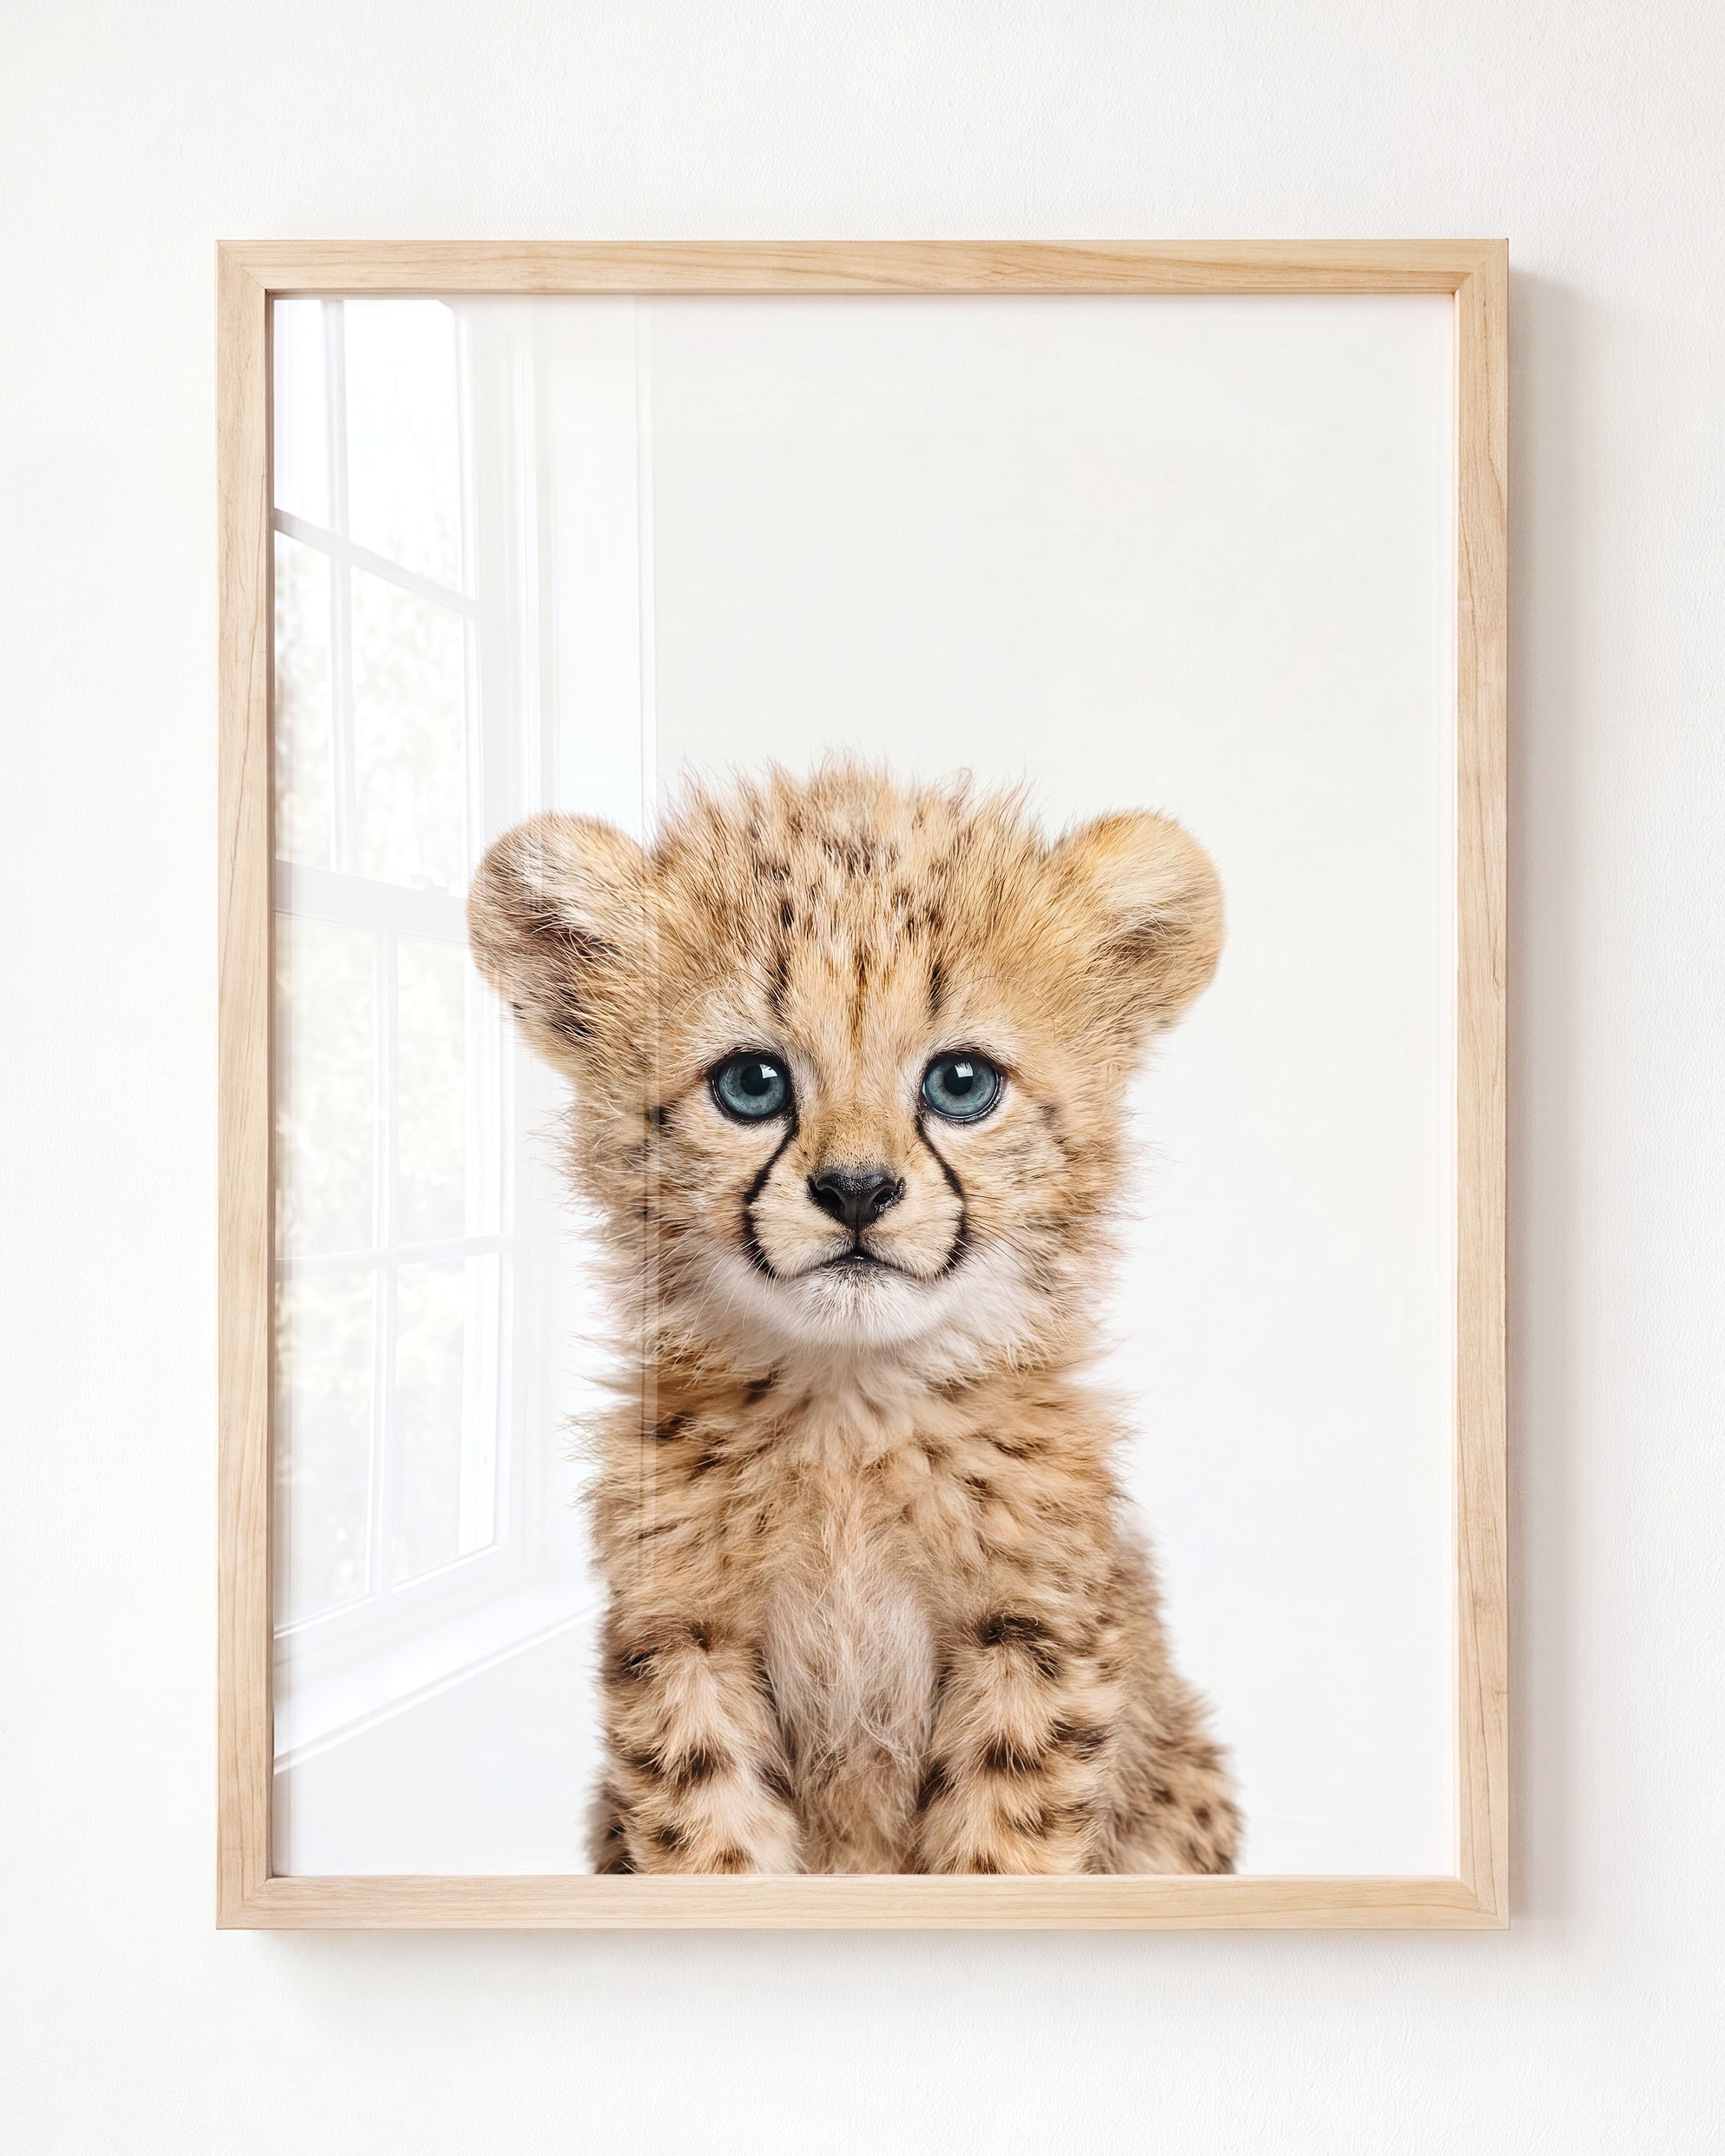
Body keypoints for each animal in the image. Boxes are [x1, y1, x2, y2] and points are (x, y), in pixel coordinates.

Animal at [468, 762, 1240, 1874]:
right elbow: (712, 1840)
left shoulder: (1033, 1635)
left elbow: (1000, 1849)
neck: (850, 1408)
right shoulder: (685, 1635)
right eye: (752, 1083)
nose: (858, 1190)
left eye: (961, 1083)